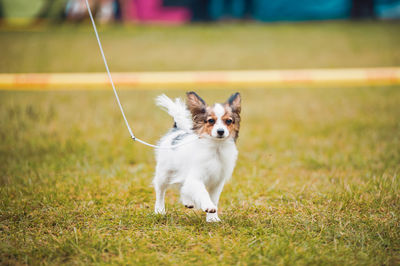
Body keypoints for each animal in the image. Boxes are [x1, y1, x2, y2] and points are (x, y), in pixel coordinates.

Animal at [152, 91, 241, 222]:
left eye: (229, 121)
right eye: (211, 120)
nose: (220, 131)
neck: (216, 148)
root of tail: (176, 130)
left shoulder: (217, 182)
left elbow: (214, 199)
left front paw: (212, 218)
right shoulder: (195, 178)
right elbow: (202, 192)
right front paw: (208, 206)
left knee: (183, 186)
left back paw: (187, 202)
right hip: (164, 173)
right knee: (160, 191)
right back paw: (159, 210)